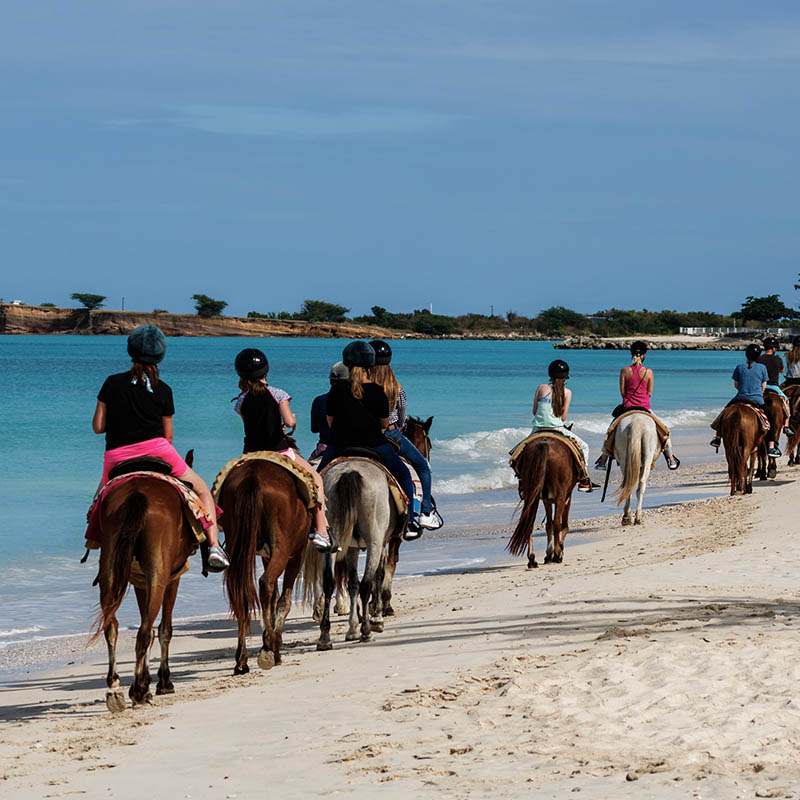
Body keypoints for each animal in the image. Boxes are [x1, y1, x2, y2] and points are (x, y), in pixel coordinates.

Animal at [91, 450, 199, 712]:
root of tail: (137, 495)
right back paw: (137, 691)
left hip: (109, 572)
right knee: (142, 632)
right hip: (159, 576)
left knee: (112, 627)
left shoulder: (140, 581)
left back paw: (115, 689)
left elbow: (149, 628)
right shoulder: (172, 579)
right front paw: (162, 683)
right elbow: (163, 630)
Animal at [217, 456, 310, 676]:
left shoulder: (267, 556)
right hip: (283, 548)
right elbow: (283, 600)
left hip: (238, 545)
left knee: (240, 594)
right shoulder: (297, 554)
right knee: (266, 582)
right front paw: (274, 646)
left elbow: (274, 598)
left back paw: (241, 660)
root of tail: (253, 476)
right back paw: (268, 649)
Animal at [310, 456, 404, 648]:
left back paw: (324, 636)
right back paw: (366, 631)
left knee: (329, 582)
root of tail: (350, 473)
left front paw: (352, 628)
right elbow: (379, 575)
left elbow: (352, 583)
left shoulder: (351, 548)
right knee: (367, 583)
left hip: (332, 537)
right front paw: (376, 617)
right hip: (374, 540)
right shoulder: (382, 542)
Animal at [506, 438, 576, 568]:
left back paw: (532, 559)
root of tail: (543, 445)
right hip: (561, 493)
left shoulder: (546, 499)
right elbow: (563, 526)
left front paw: (549, 555)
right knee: (557, 523)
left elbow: (548, 524)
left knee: (529, 523)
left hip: (531, 492)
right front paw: (558, 551)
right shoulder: (567, 496)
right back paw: (557, 555)